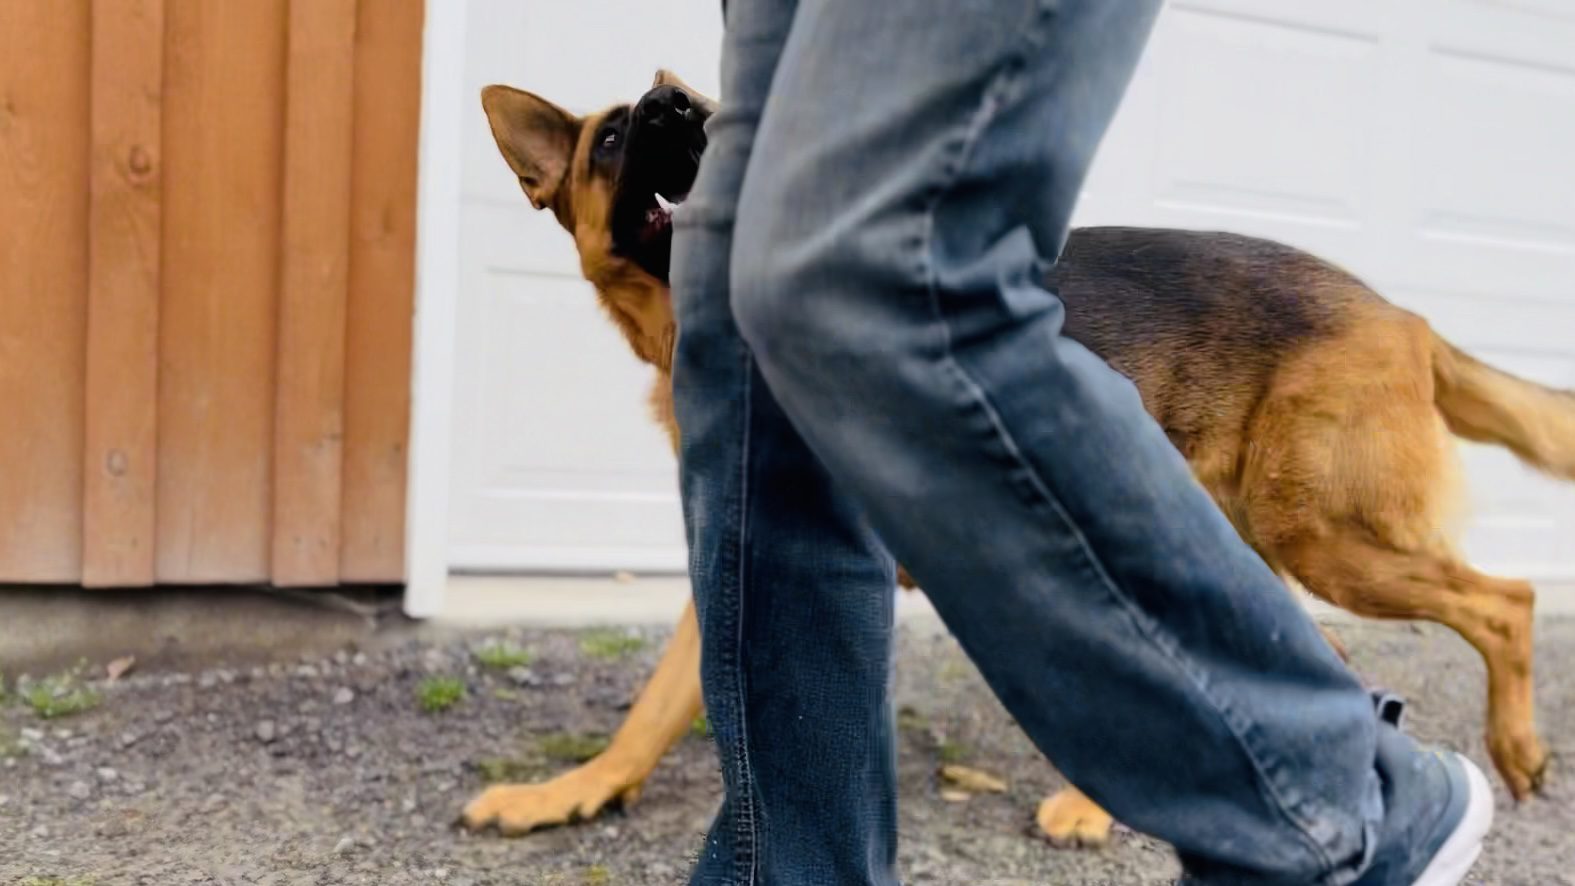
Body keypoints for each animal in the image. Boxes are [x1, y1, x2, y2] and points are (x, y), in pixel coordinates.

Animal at [459, 71, 1568, 843]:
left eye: (697, 112)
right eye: (612, 137)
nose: (675, 109)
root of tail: (1403, 313)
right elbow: (653, 710)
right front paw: (574, 791)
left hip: (1320, 533)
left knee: (1504, 601)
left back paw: (1511, 749)